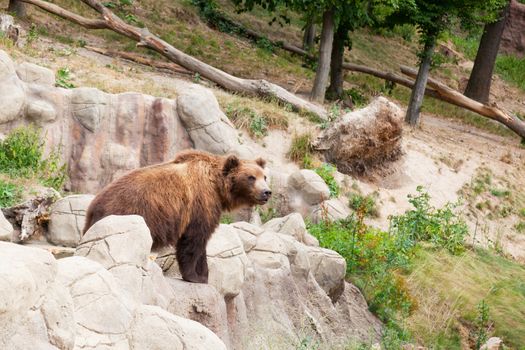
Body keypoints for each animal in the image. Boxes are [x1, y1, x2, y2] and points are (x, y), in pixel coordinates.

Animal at [84, 149, 270, 284]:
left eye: (264, 176)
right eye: (251, 177)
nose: (267, 192)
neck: (218, 188)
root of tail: (92, 207)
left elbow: (201, 244)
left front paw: (204, 276)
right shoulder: (200, 204)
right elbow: (193, 241)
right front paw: (194, 276)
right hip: (126, 214)